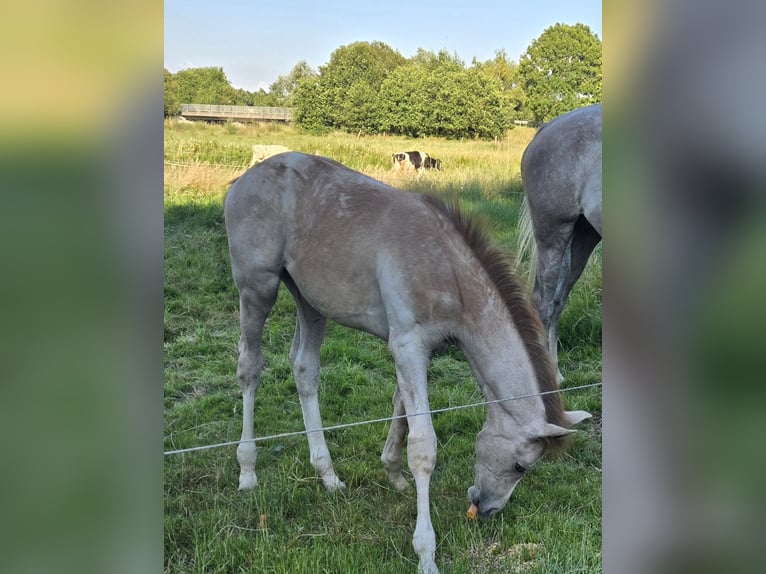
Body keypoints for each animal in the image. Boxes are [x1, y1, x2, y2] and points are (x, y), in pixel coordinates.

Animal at [224, 152, 591, 574]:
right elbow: (424, 447)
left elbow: (400, 408)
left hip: (310, 299)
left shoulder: (417, 350)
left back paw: (328, 474)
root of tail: (244, 179)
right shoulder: (408, 344)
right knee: (250, 367)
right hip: (258, 288)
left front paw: (393, 473)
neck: (449, 274)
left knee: (304, 369)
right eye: (520, 467)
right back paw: (247, 470)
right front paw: (426, 553)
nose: (487, 508)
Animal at [518, 103, 602, 382]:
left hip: (584, 236)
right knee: (544, 303)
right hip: (553, 234)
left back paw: (556, 372)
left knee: (557, 300)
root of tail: (547, 128)